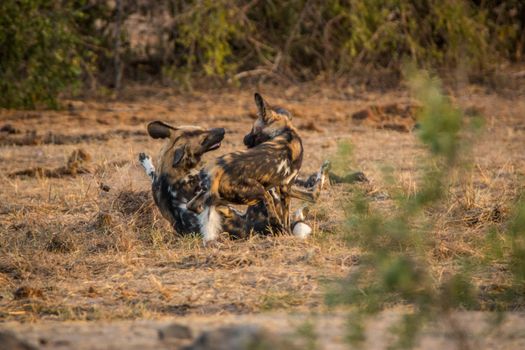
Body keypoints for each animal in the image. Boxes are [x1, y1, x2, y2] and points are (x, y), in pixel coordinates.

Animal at [186, 92, 304, 241]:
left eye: (252, 128)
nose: (244, 138)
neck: (285, 131)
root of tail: (217, 169)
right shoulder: (285, 189)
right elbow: (286, 217)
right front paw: (288, 234)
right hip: (260, 191)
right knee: (272, 212)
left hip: (210, 194)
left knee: (194, 206)